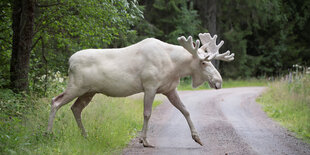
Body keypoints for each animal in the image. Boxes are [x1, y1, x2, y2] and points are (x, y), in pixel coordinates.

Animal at [47, 32, 234, 147]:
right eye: (203, 62)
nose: (219, 81)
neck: (175, 66)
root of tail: (69, 61)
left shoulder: (169, 89)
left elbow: (185, 110)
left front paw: (197, 138)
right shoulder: (150, 86)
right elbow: (147, 113)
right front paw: (144, 141)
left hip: (89, 92)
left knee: (75, 108)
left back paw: (85, 136)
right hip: (76, 86)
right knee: (55, 101)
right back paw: (49, 133)